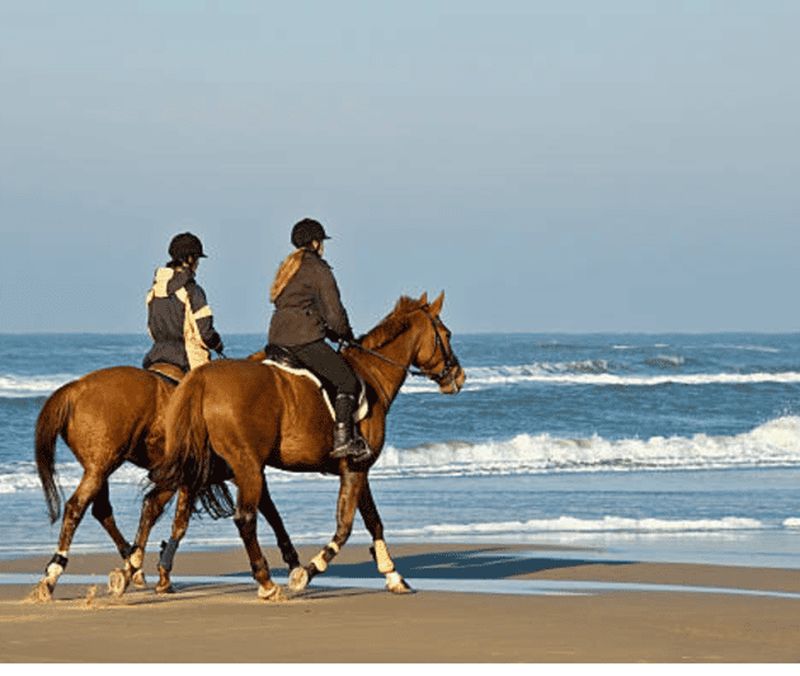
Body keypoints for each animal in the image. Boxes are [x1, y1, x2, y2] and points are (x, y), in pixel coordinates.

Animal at [33, 365, 301, 601]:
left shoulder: (196, 478)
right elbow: (268, 512)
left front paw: (155, 572)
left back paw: (130, 564)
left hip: (98, 469)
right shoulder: (240, 472)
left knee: (100, 510)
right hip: (100, 467)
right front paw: (292, 563)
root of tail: (76, 388)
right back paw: (54, 573)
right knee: (76, 507)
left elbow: (167, 516)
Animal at [149, 291, 465, 599]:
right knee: (244, 518)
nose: (459, 376)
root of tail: (203, 379)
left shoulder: (358, 470)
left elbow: (373, 520)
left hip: (215, 466)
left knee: (179, 509)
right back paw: (266, 583)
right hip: (246, 466)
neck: (372, 374)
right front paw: (308, 572)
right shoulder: (355, 468)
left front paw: (393, 576)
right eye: (447, 334)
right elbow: (345, 527)